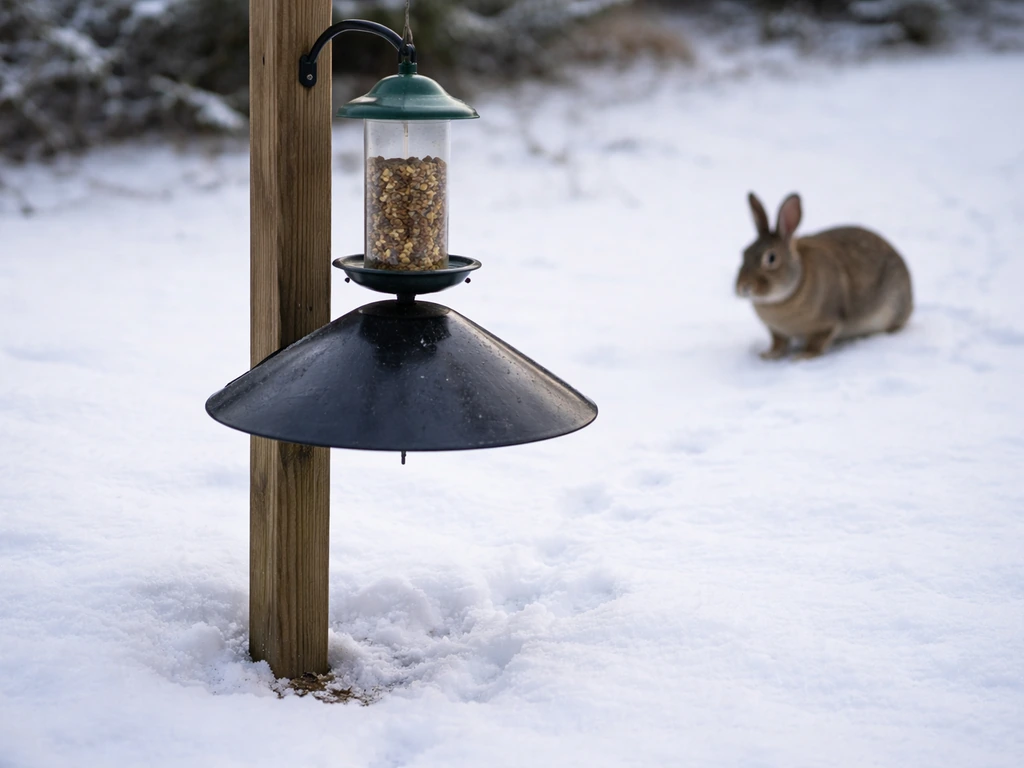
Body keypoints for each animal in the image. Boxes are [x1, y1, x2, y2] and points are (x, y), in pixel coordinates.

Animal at [735, 192, 913, 360]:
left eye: (771, 258)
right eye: (744, 253)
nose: (743, 286)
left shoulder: (825, 324)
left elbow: (816, 342)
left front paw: (803, 356)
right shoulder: (777, 332)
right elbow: (779, 343)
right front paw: (768, 355)